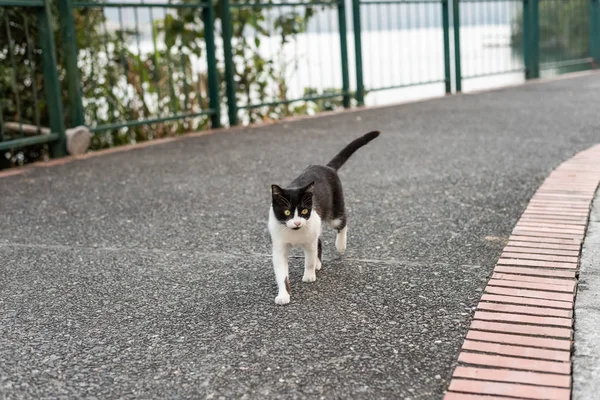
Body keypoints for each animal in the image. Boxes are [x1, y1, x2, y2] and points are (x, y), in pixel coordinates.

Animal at [268, 130, 380, 304]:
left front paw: (309, 274)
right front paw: (283, 295)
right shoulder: (279, 245)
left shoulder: (310, 238)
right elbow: (281, 272)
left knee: (342, 221)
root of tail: (327, 167)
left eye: (304, 211)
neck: (294, 233)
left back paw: (340, 245)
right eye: (286, 212)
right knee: (319, 240)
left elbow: (309, 258)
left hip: (334, 209)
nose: (297, 222)